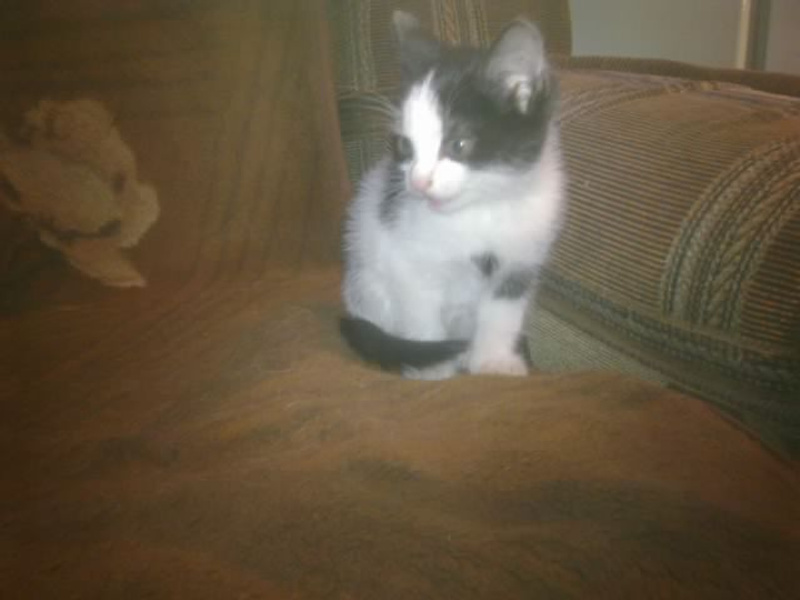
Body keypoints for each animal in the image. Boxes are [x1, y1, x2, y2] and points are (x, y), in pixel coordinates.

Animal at [340, 11, 565, 380]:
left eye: (458, 145)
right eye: (404, 145)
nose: (418, 182)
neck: (479, 211)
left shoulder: (520, 258)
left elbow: (502, 312)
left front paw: (493, 361)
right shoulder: (407, 259)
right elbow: (420, 312)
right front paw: (433, 371)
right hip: (366, 283)